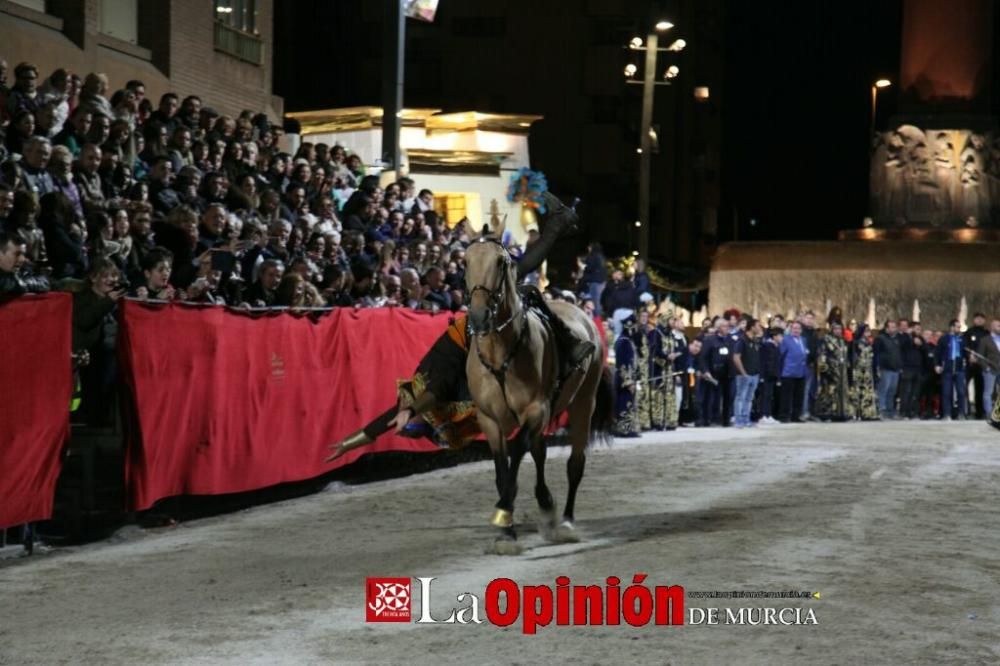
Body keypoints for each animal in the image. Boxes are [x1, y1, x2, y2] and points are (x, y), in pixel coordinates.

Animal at [464, 220, 612, 552]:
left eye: (501, 262)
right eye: (465, 261)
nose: (479, 316)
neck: (501, 354)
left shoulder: (535, 410)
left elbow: (518, 451)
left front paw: (505, 512)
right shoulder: (489, 419)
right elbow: (502, 469)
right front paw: (506, 531)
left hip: (583, 402)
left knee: (574, 463)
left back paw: (565, 521)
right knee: (540, 451)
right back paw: (546, 504)